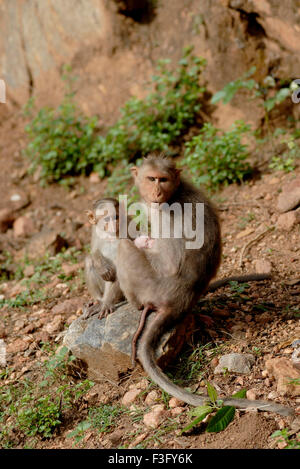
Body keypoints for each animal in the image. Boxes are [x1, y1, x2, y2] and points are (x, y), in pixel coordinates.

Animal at [116, 155, 292, 414]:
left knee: (126, 248)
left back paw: (134, 304)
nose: (157, 192)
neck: (175, 192)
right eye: (151, 178)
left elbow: (169, 261)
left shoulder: (165, 214)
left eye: (163, 179)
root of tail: (179, 302)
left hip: (149, 285)